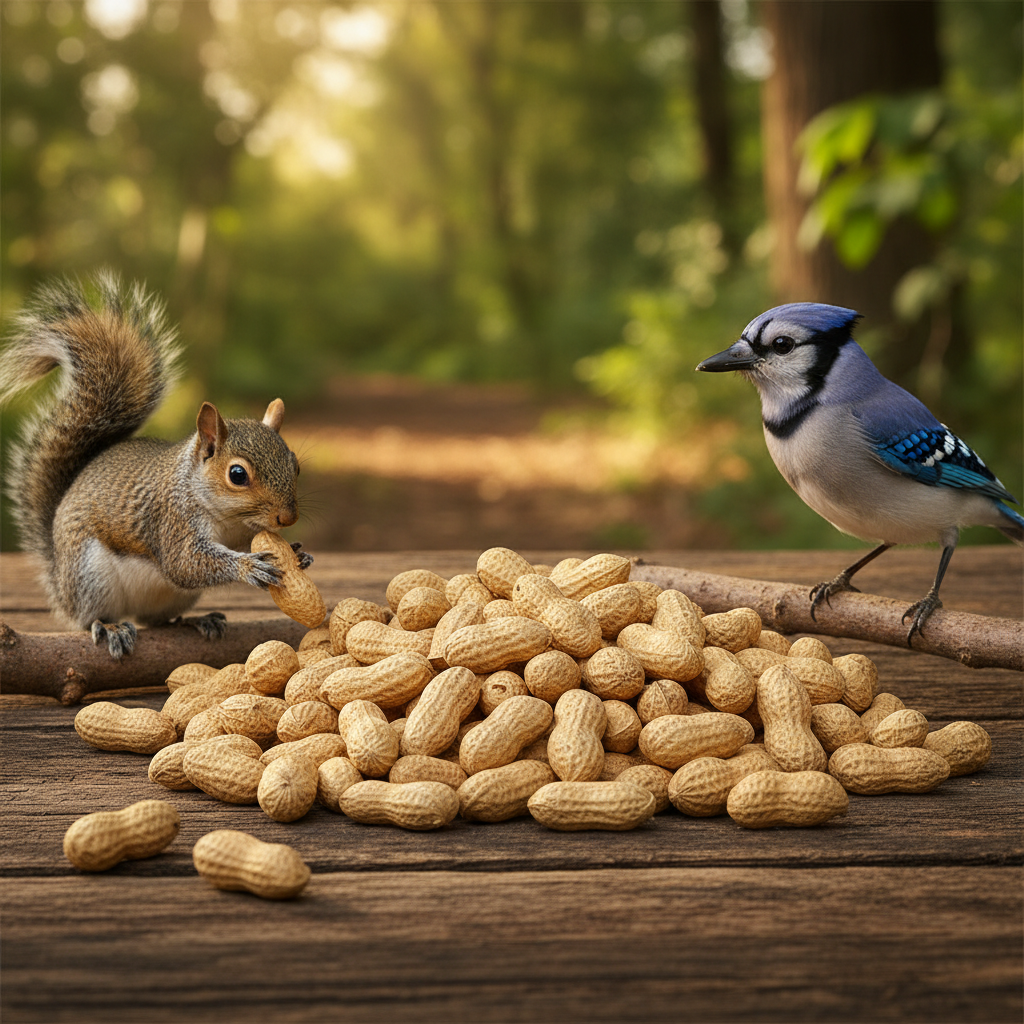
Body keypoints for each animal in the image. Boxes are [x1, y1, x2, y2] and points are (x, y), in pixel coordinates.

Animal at [0, 271, 309, 659]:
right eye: (237, 475)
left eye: (295, 465)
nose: (288, 518)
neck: (229, 519)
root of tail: (60, 579)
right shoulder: (172, 522)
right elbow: (186, 563)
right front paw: (249, 566)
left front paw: (298, 553)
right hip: (90, 576)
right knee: (88, 618)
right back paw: (110, 627)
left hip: (171, 597)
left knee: (158, 620)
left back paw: (194, 620)